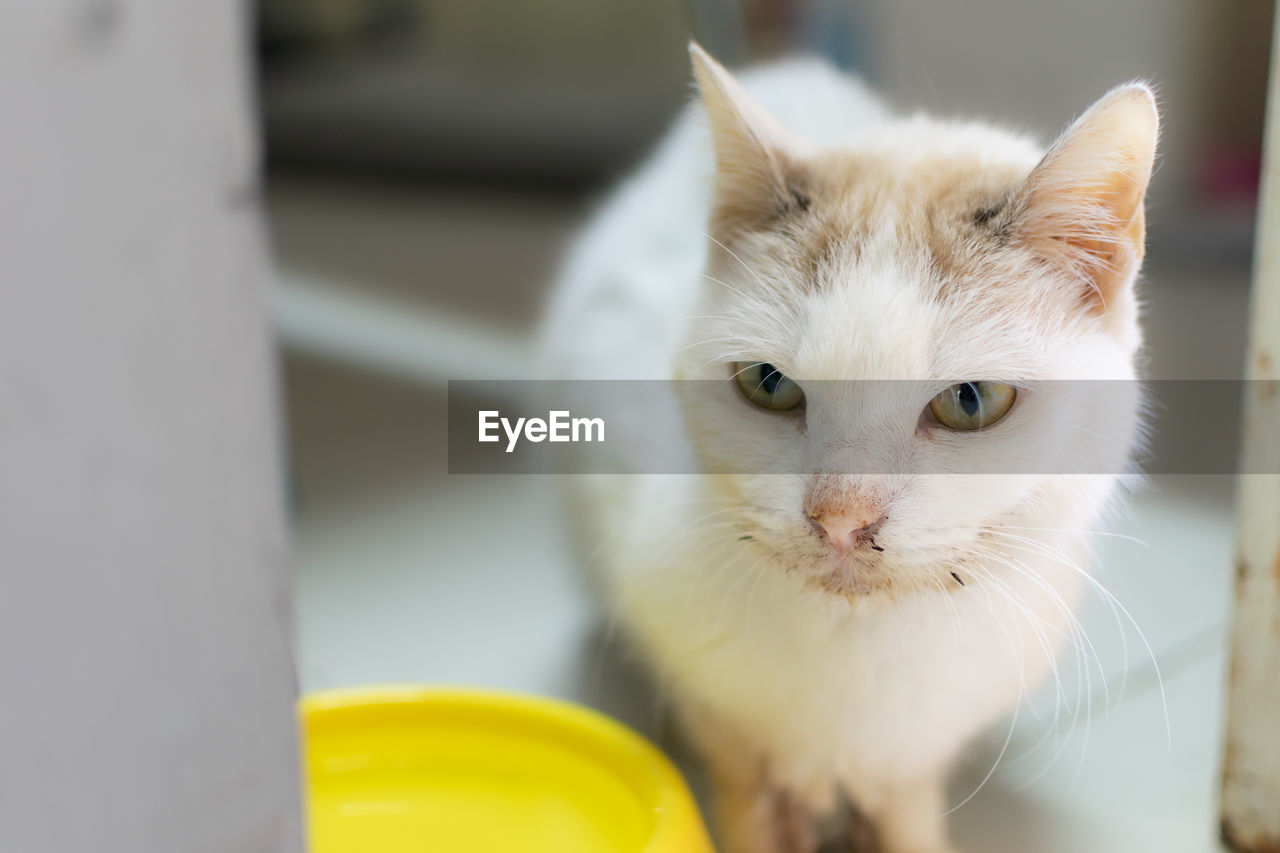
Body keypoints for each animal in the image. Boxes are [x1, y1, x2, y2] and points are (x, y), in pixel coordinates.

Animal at [535, 41, 1157, 850]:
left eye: (971, 401)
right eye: (768, 384)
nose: (840, 518)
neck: (857, 645)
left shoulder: (922, 744)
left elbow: (903, 804)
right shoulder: (713, 702)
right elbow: (747, 791)